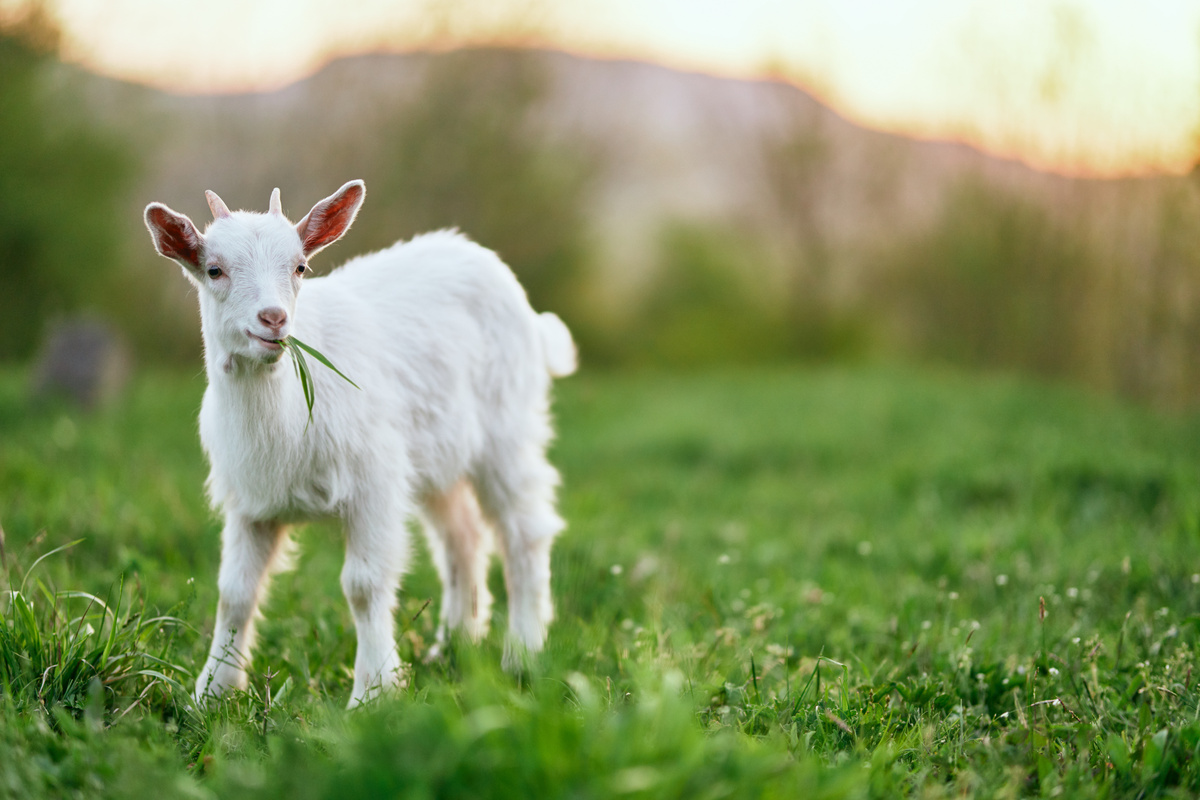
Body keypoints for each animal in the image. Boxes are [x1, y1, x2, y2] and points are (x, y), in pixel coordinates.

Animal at [145, 183, 576, 705]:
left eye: (300, 266)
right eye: (214, 269)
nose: (274, 318)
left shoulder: (374, 483)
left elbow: (363, 586)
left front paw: (373, 692)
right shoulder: (251, 502)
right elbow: (235, 592)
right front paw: (211, 693)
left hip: (507, 430)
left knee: (523, 531)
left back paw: (522, 654)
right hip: (437, 456)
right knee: (464, 536)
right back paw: (454, 647)